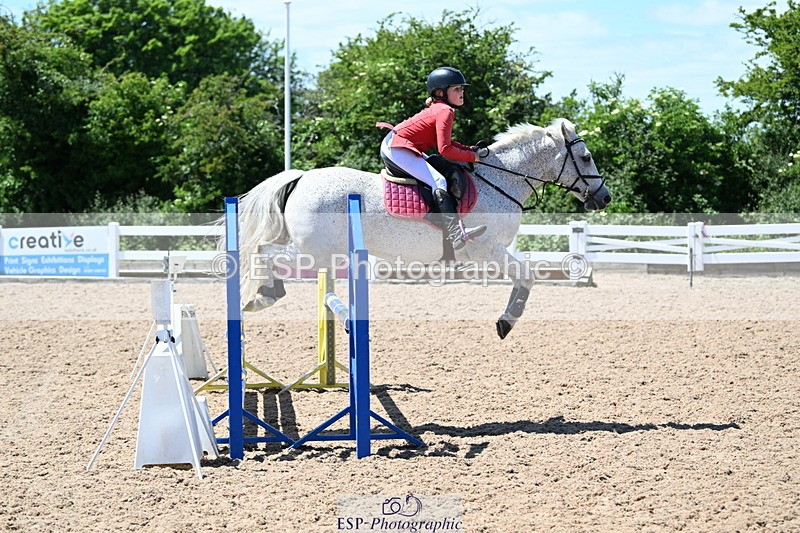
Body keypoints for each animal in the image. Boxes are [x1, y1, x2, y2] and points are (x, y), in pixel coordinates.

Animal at [231, 118, 611, 339]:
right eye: (587, 157)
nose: (604, 197)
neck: (502, 180)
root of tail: (300, 177)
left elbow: (526, 276)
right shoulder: (487, 251)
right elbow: (528, 276)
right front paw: (507, 321)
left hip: (318, 249)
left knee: (268, 252)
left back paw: (264, 295)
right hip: (315, 251)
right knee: (265, 251)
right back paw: (264, 295)